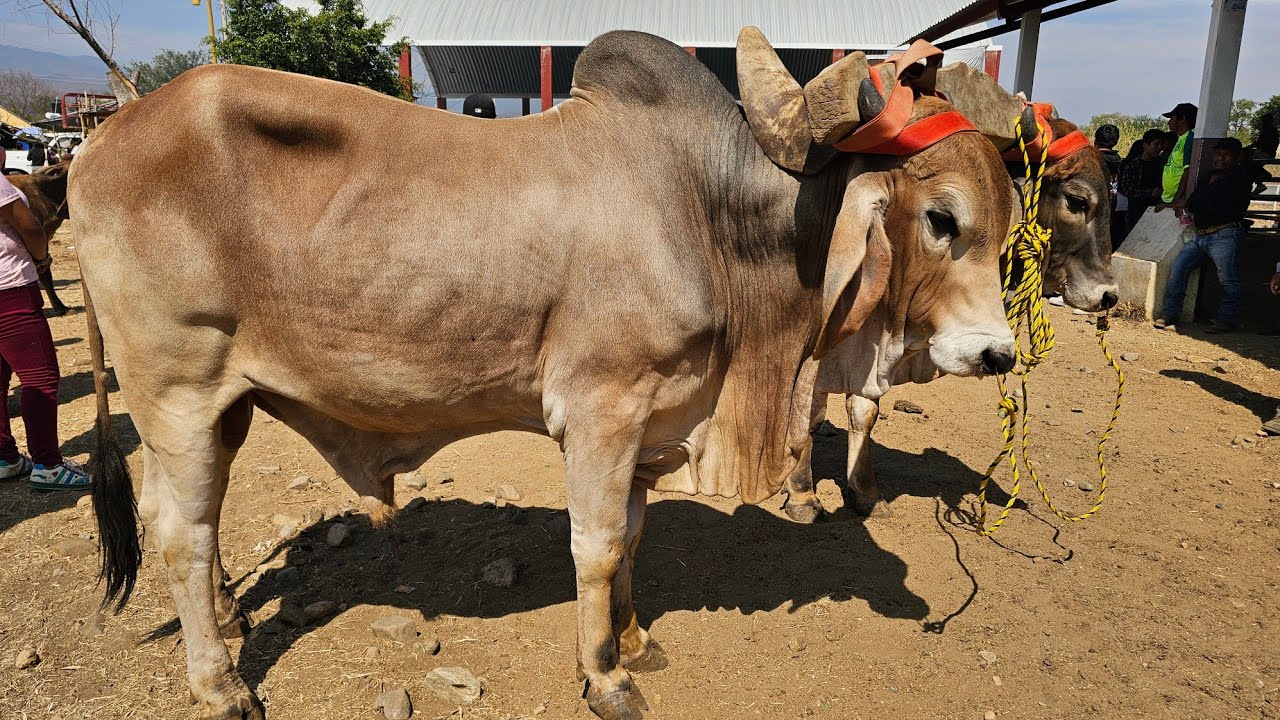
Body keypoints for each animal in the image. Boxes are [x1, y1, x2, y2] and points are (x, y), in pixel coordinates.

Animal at [74, 30, 1016, 720]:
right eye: (942, 218)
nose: (997, 353)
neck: (702, 210)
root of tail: (95, 141)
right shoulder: (602, 411)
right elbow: (595, 548)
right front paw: (605, 677)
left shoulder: (649, 422)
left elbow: (632, 536)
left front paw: (634, 641)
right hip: (178, 395)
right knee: (180, 533)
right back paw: (221, 683)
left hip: (225, 407)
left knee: (190, 520)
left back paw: (232, 618)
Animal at [781, 63, 1121, 522]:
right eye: (1077, 200)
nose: (1108, 295)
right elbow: (809, 408)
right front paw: (801, 491)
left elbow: (864, 411)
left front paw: (864, 490)